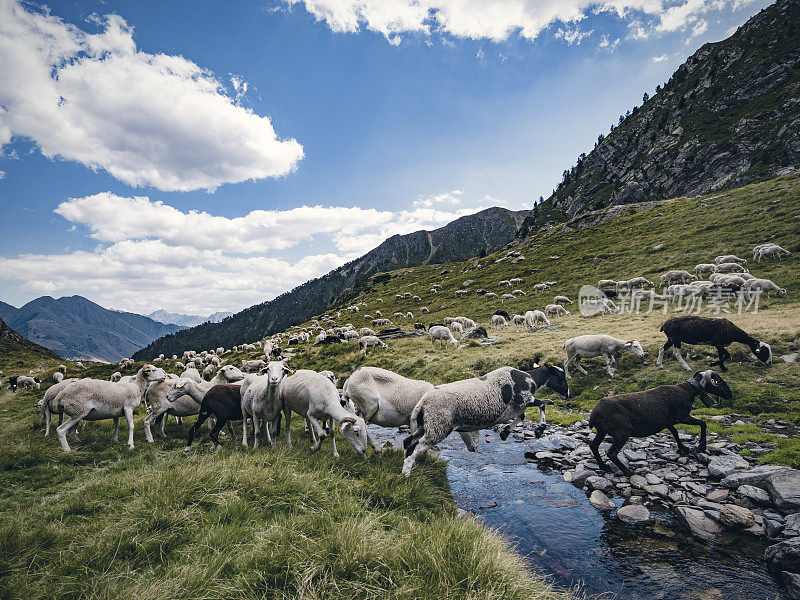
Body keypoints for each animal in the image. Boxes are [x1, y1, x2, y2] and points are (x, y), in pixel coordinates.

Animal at [404, 368, 540, 476]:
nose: (473, 448)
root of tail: (421, 403)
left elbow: (523, 415)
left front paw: (506, 432)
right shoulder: (522, 401)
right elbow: (537, 407)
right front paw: (539, 428)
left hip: (426, 426)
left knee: (407, 441)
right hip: (438, 427)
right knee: (412, 448)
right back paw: (406, 475)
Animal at [588, 368, 732, 476]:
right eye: (718, 381)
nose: (730, 394)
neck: (687, 390)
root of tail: (595, 412)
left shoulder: (668, 421)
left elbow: (675, 433)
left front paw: (683, 449)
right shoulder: (683, 417)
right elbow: (703, 424)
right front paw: (702, 446)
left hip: (602, 431)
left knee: (593, 446)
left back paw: (604, 467)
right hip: (622, 432)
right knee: (611, 453)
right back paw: (627, 471)